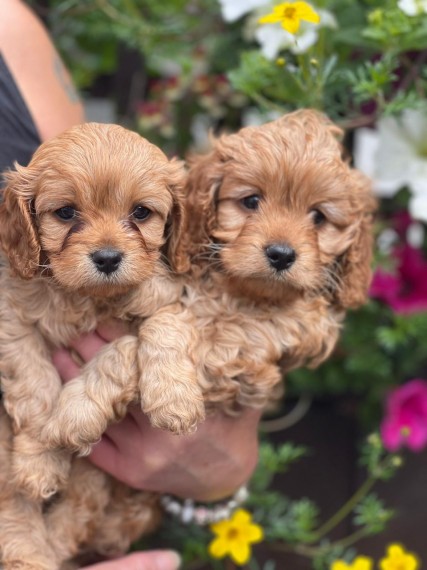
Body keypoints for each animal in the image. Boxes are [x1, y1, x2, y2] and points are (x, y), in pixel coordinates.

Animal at [0, 118, 206, 502]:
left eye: (141, 212)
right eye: (66, 213)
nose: (108, 258)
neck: (89, 298)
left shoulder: (171, 299)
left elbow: (145, 338)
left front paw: (174, 400)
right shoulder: (13, 323)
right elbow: (36, 387)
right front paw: (40, 460)